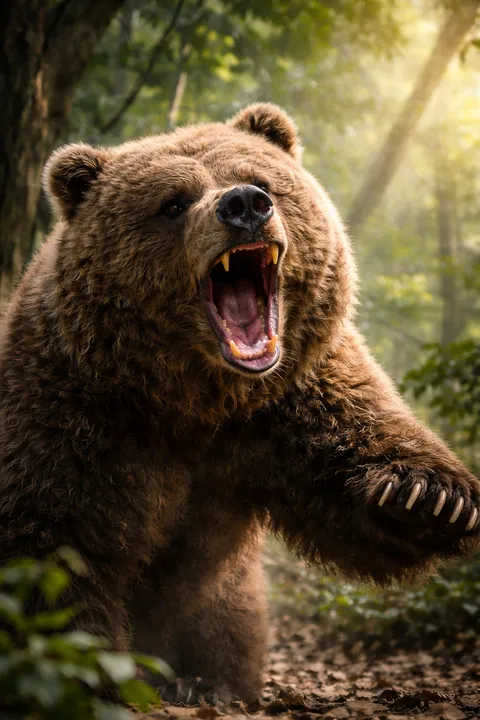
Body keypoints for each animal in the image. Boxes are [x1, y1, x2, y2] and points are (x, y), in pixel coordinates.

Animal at [0, 103, 479, 704]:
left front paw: (430, 497)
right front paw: (90, 673)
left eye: (262, 181)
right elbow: (60, 545)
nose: (244, 205)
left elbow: (353, 449)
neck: (196, 398)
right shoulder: (72, 407)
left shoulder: (291, 393)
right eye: (173, 202)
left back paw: (205, 681)